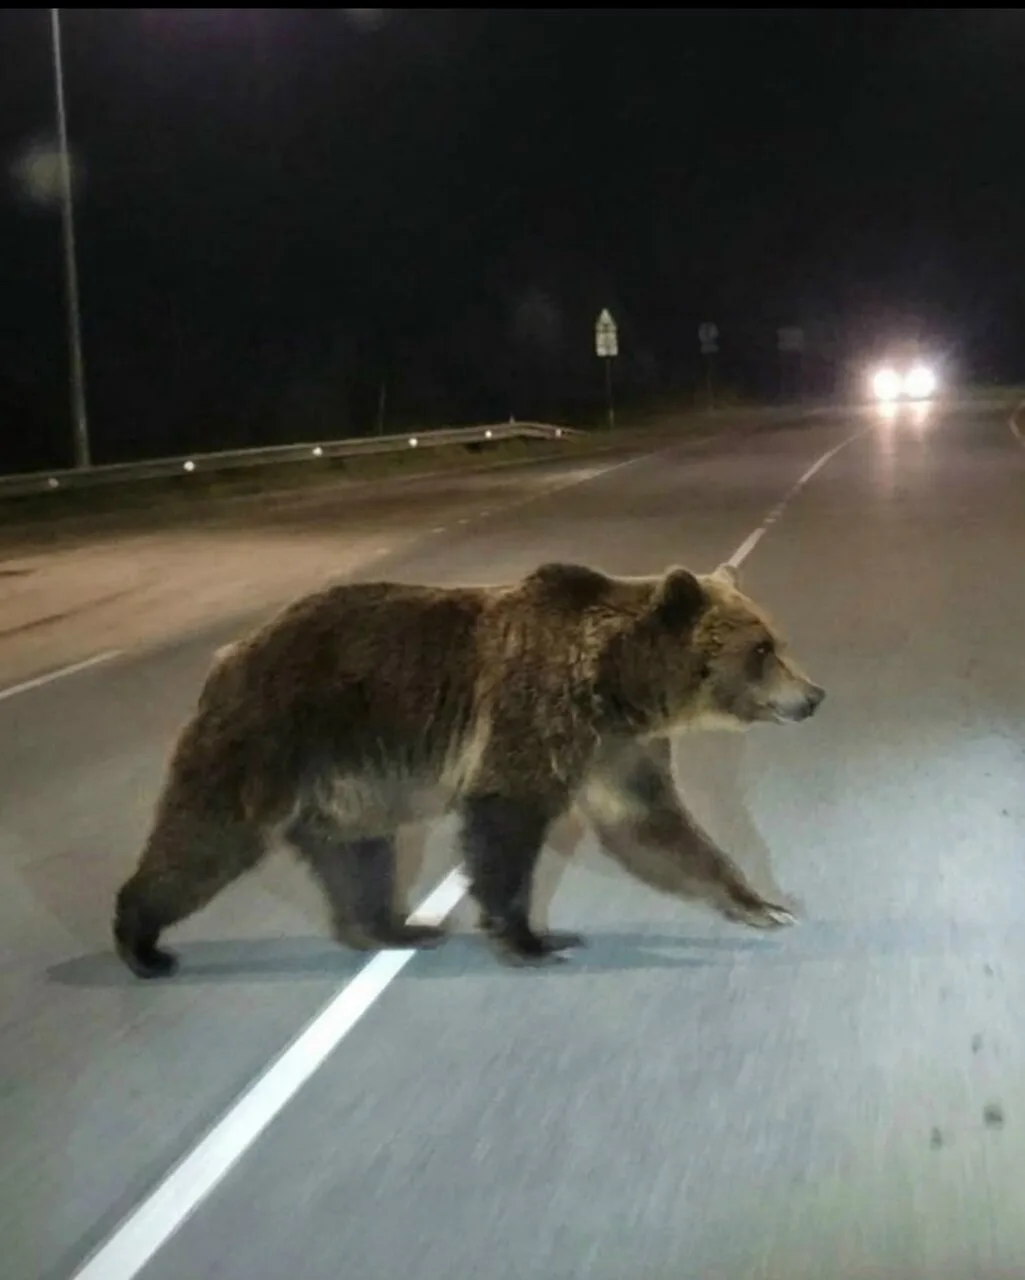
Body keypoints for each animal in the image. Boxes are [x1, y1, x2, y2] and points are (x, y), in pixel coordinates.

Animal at [112, 559, 825, 977]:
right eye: (762, 649)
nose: (814, 695)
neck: (619, 686)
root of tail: (229, 652)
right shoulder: (534, 719)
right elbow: (504, 830)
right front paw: (533, 939)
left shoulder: (615, 750)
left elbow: (655, 824)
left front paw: (761, 903)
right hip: (270, 736)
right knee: (205, 835)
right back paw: (142, 942)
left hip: (349, 782)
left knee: (359, 855)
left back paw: (399, 926)